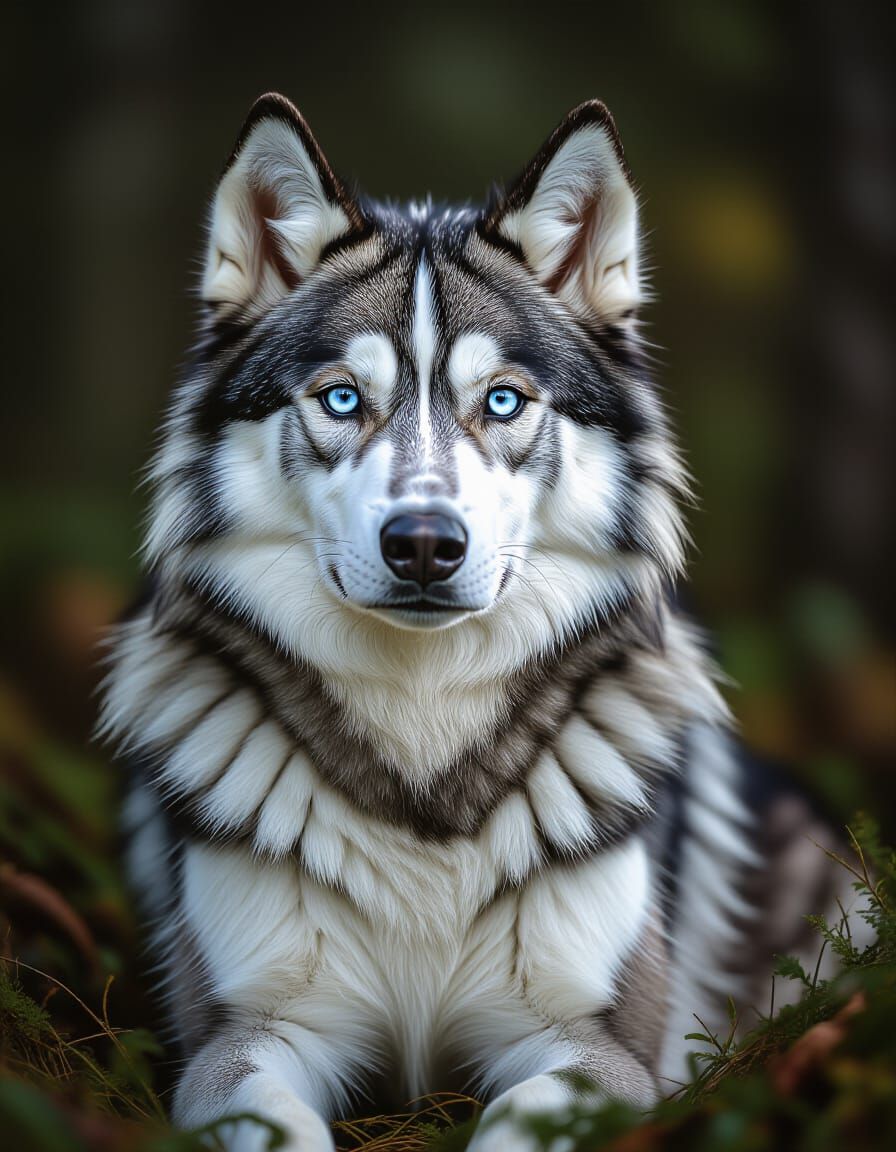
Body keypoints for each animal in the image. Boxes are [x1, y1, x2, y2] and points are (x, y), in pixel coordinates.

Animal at [100, 94, 853, 1150]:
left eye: (501, 401)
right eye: (343, 398)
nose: (424, 543)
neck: (423, 749)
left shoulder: (599, 1048)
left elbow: (516, 1116)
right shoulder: (246, 1035)